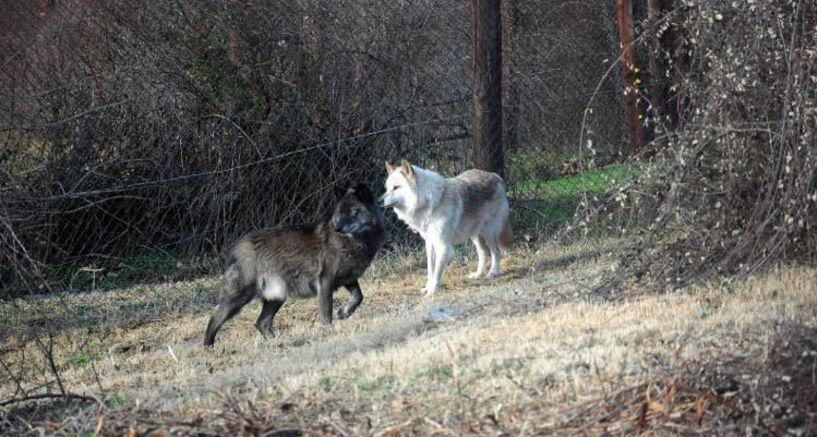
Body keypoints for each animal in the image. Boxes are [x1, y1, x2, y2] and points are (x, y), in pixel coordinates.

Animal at [202, 182, 384, 346]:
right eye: (339, 212)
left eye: (353, 211)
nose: (337, 227)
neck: (355, 241)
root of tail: (236, 247)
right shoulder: (325, 281)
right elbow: (327, 312)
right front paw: (328, 332)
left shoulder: (348, 279)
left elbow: (359, 296)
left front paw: (345, 312)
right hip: (238, 297)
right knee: (215, 317)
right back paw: (208, 346)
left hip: (276, 298)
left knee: (261, 323)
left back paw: (276, 343)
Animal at [380, 160, 510, 292]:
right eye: (387, 188)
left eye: (396, 187)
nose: (379, 200)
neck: (429, 202)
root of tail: (495, 176)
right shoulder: (430, 243)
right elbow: (430, 269)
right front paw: (427, 287)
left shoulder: (443, 246)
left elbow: (437, 271)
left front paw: (433, 290)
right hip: (475, 235)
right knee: (483, 253)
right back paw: (478, 274)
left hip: (488, 233)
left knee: (496, 252)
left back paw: (494, 272)